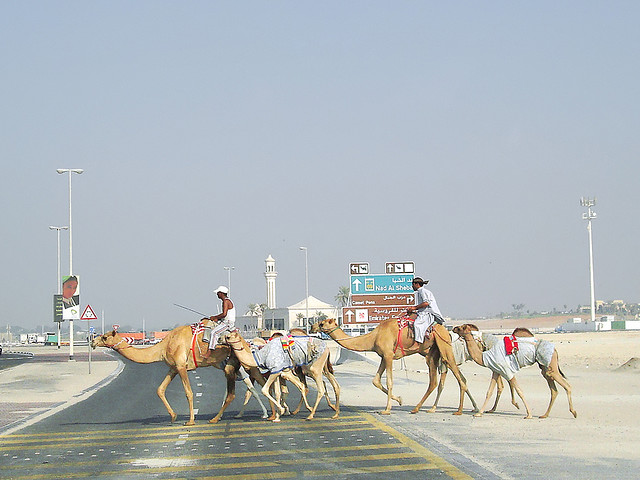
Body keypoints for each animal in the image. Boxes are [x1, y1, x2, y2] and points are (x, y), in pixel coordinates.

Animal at [90, 326, 268, 428]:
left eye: (105, 337)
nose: (92, 341)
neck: (163, 346)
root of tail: (246, 341)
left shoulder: (182, 366)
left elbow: (189, 393)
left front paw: (190, 420)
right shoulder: (173, 368)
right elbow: (160, 389)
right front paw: (173, 416)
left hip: (233, 365)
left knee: (237, 392)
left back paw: (217, 418)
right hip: (240, 364)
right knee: (257, 383)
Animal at [310, 316, 476, 414]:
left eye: (322, 323)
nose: (312, 327)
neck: (373, 337)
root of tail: (446, 330)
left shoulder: (389, 356)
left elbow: (389, 381)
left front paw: (387, 409)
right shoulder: (383, 356)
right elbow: (376, 381)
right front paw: (400, 400)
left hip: (444, 346)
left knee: (455, 374)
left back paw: (460, 410)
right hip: (431, 353)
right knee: (437, 380)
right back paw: (420, 408)